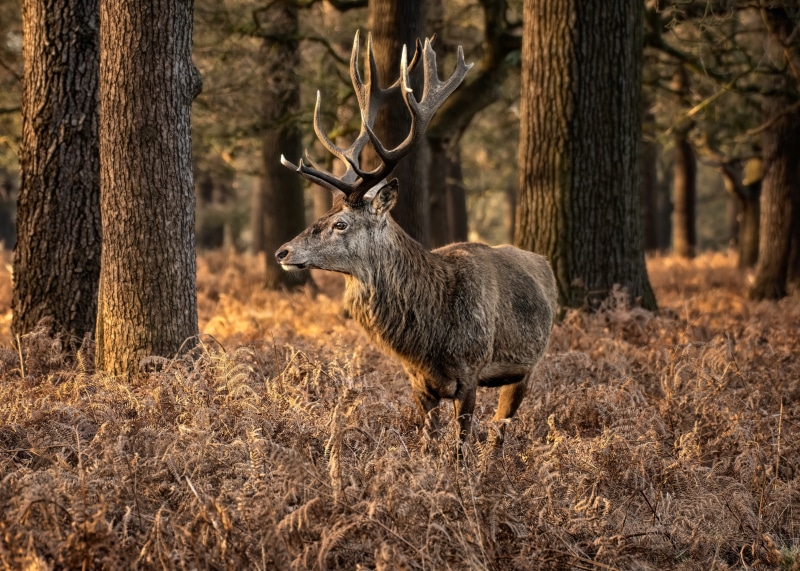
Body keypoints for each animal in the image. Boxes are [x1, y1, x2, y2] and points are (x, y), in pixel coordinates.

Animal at [276, 31, 557, 443]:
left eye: (341, 223)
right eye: (322, 215)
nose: (283, 251)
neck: (429, 338)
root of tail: (543, 261)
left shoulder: (470, 371)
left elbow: (460, 446)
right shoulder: (417, 383)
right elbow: (428, 442)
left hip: (528, 365)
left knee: (500, 430)